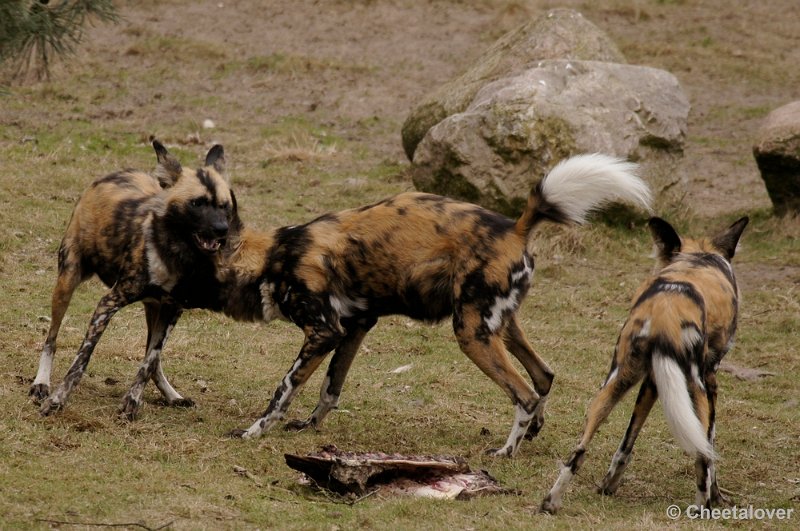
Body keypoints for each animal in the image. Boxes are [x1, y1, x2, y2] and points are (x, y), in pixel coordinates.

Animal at [32, 141, 238, 420]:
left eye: (224, 206)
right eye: (197, 203)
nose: (222, 230)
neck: (175, 253)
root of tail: (113, 174)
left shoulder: (172, 311)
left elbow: (149, 361)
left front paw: (132, 401)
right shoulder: (108, 303)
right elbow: (80, 362)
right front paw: (57, 400)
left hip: (154, 309)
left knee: (154, 359)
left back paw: (172, 395)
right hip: (66, 282)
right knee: (51, 338)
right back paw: (41, 383)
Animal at [216, 153, 652, 458]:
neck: (276, 256)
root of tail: (515, 228)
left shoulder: (324, 331)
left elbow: (284, 389)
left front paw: (254, 431)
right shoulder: (354, 327)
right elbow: (330, 388)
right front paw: (309, 426)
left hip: (471, 333)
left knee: (524, 394)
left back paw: (505, 451)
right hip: (498, 325)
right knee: (543, 376)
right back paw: (530, 433)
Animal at [544, 216, 752, 516]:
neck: (698, 258)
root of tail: (667, 308)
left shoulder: (652, 381)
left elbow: (625, 445)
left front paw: (608, 485)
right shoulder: (710, 380)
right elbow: (710, 449)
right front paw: (717, 495)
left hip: (614, 382)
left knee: (578, 451)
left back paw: (550, 501)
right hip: (697, 387)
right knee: (702, 455)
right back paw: (701, 509)